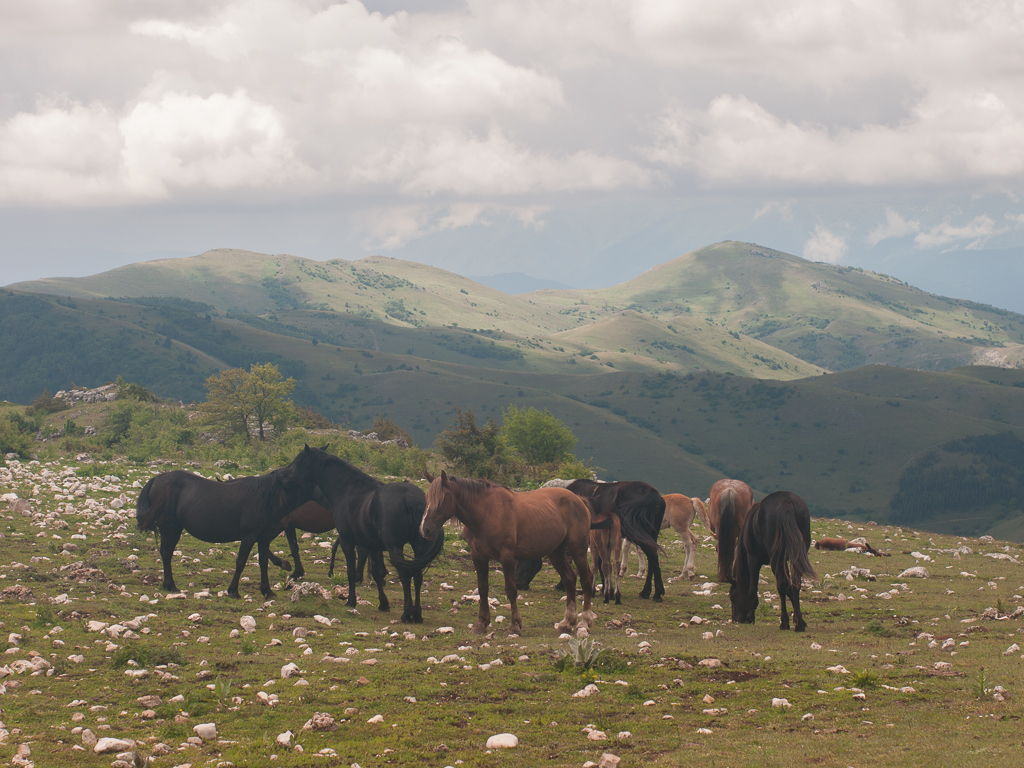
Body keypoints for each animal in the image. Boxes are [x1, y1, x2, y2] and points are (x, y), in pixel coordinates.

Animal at [135, 450, 315, 602]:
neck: (270, 495)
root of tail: (156, 479)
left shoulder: (264, 536)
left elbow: (263, 560)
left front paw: (268, 589)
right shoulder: (251, 536)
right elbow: (241, 561)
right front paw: (234, 591)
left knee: (166, 553)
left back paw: (169, 585)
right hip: (170, 528)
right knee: (166, 553)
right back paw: (171, 586)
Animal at [292, 448, 444, 622]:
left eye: (300, 461)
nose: (289, 476)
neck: (348, 490)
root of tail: (410, 497)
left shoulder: (347, 541)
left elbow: (351, 572)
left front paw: (351, 601)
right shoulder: (374, 546)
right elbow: (377, 573)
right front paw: (383, 604)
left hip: (395, 547)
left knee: (405, 575)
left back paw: (406, 614)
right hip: (418, 546)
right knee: (417, 576)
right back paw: (417, 614)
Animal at [417, 475, 598, 638]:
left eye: (442, 499)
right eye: (426, 498)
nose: (425, 529)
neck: (486, 513)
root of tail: (579, 500)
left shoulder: (507, 557)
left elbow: (511, 590)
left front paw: (515, 626)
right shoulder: (478, 557)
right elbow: (482, 589)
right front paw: (480, 624)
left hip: (578, 550)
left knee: (586, 580)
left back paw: (584, 623)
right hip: (556, 553)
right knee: (569, 579)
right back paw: (566, 623)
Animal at [516, 481, 667, 602]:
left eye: (521, 561)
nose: (518, 585)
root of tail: (653, 495)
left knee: (652, 557)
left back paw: (654, 593)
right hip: (650, 535)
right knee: (653, 558)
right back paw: (649, 592)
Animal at [729, 495, 815, 634]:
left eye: (732, 596)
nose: (736, 620)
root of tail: (787, 504)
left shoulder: (753, 560)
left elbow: (752, 589)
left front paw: (750, 617)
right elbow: (790, 589)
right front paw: (800, 619)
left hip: (776, 559)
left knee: (782, 585)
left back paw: (784, 623)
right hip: (796, 556)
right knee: (795, 584)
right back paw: (799, 625)